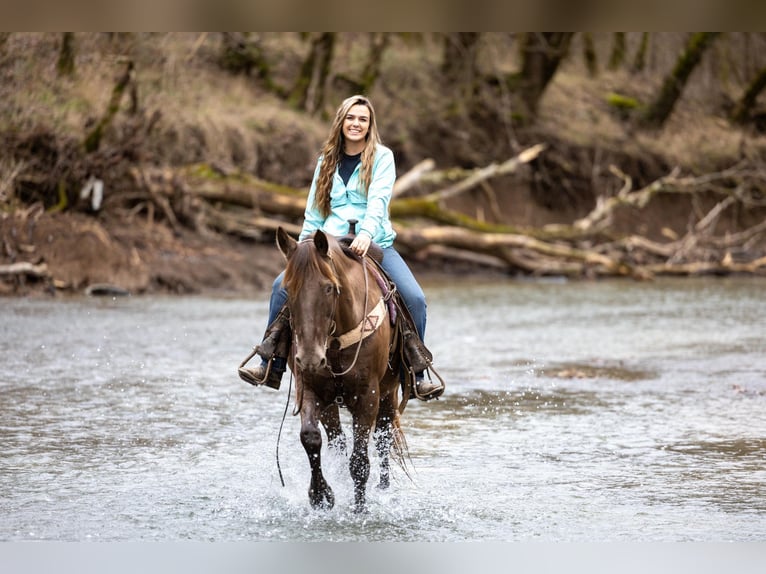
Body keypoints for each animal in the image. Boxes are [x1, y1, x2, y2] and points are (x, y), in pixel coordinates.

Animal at [278, 227, 408, 516]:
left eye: (329, 288)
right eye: (287, 289)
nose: (309, 357)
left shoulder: (368, 395)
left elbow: (360, 461)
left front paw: (359, 510)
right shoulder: (311, 389)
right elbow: (311, 437)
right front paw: (320, 496)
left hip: (389, 392)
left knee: (383, 437)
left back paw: (383, 488)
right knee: (337, 442)